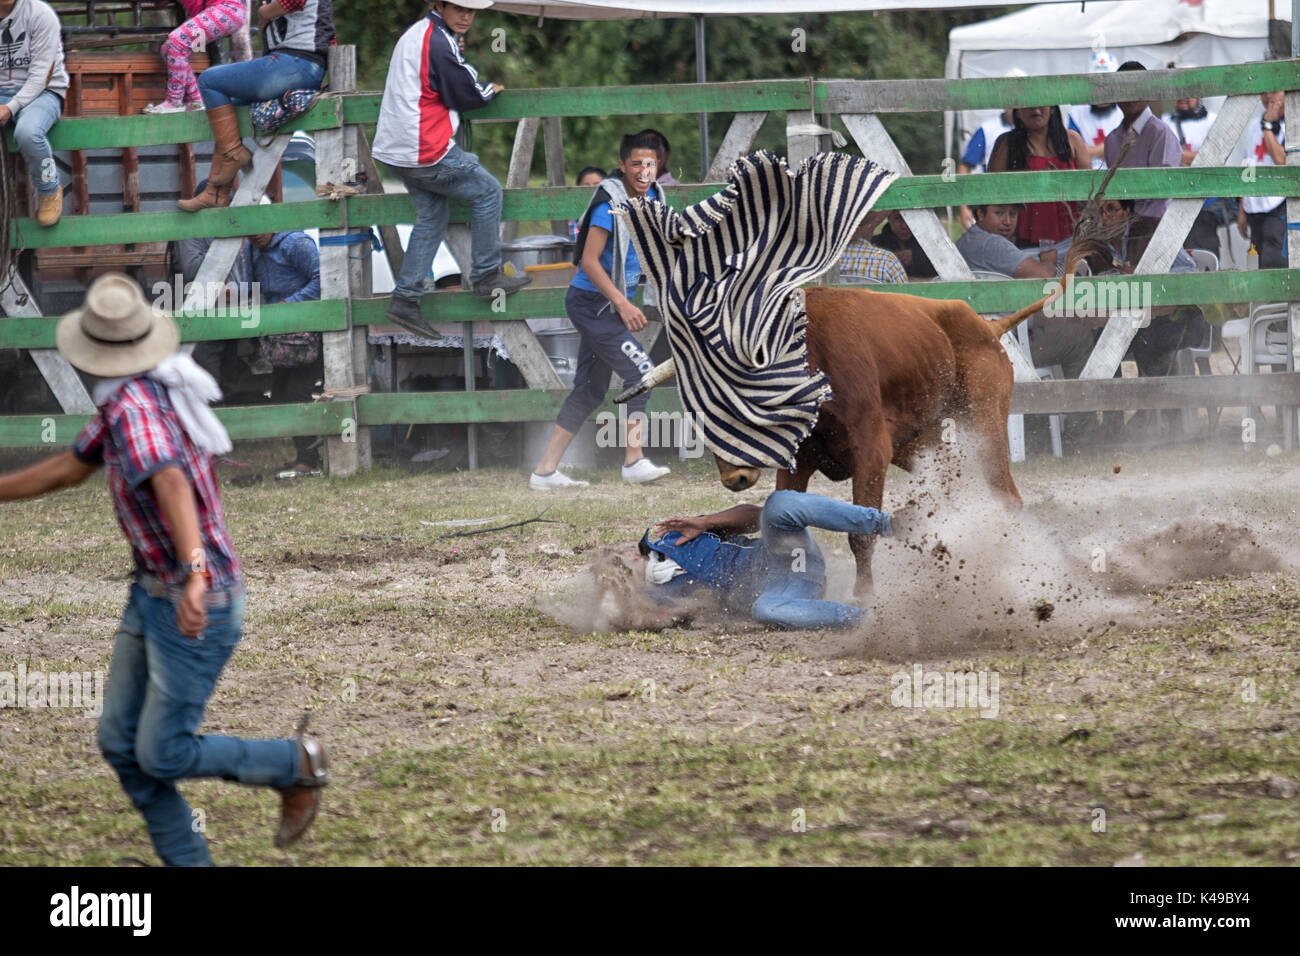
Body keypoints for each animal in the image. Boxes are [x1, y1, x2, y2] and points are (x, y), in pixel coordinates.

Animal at [717, 283, 1060, 595]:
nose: (735, 478)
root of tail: (988, 326)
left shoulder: (871, 454)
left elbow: (861, 535)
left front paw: (864, 595)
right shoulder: (799, 464)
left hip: (986, 426)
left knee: (1006, 495)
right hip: (923, 447)